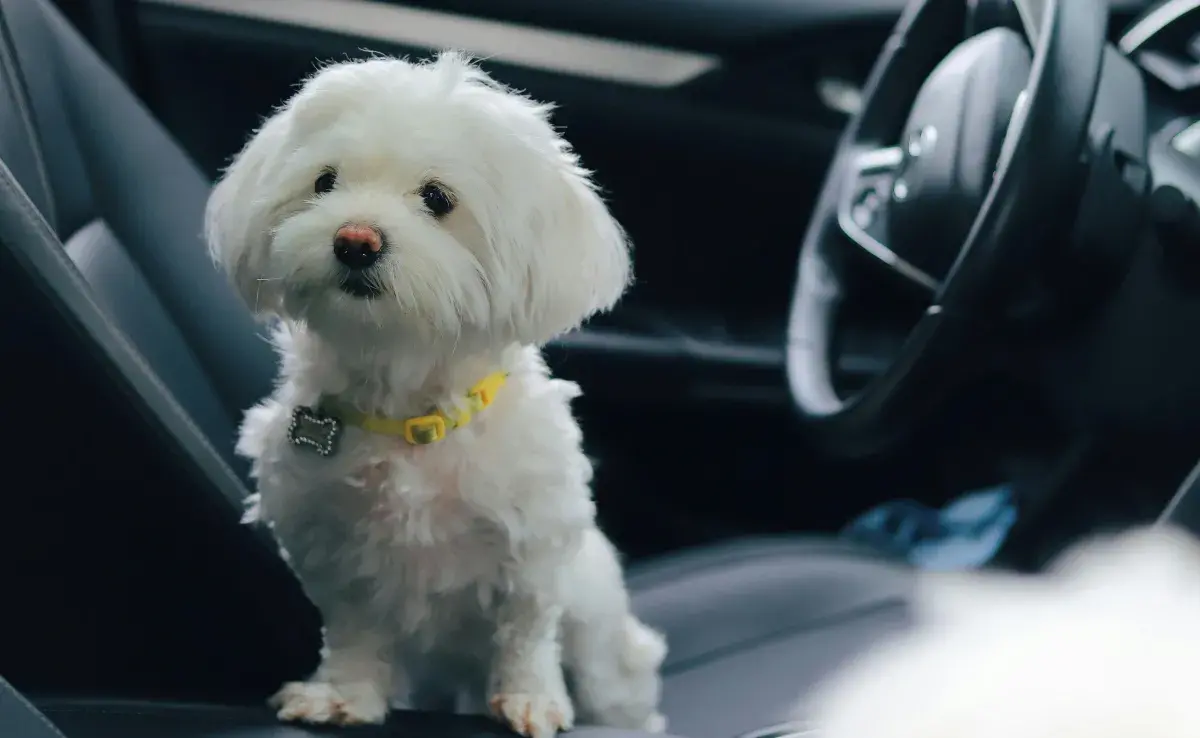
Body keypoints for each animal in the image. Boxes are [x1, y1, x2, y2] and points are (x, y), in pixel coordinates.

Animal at [202, 53, 667, 738]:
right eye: (324, 182)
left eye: (437, 198)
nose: (355, 239)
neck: (409, 408)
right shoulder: (330, 540)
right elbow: (354, 628)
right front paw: (342, 694)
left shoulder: (533, 542)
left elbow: (525, 629)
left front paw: (530, 698)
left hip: (602, 644)